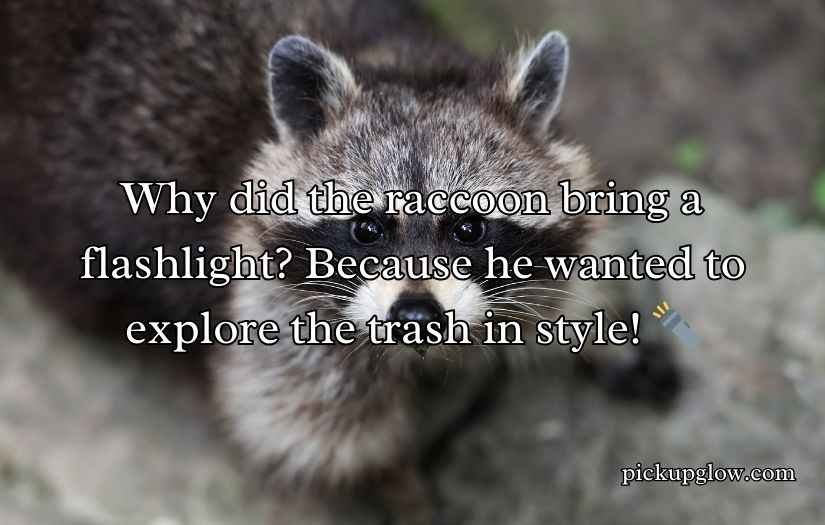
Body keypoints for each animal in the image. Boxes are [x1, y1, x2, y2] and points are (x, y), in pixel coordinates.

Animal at [0, 1, 676, 523]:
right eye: (366, 228)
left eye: (470, 225)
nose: (416, 316)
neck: (403, 66)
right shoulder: (265, 305)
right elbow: (313, 431)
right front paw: (396, 485)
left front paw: (603, 328)